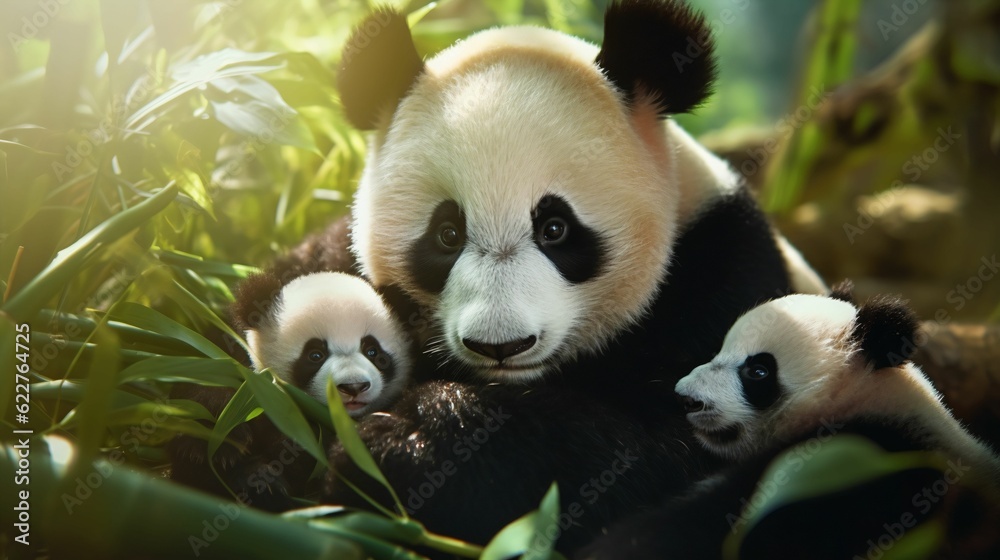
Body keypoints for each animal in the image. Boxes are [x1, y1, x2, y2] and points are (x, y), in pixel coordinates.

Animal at [320, 0, 826, 551]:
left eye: (555, 229)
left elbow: (646, 459)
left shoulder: (721, 281)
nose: (501, 345)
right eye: (447, 233)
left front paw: (407, 438)